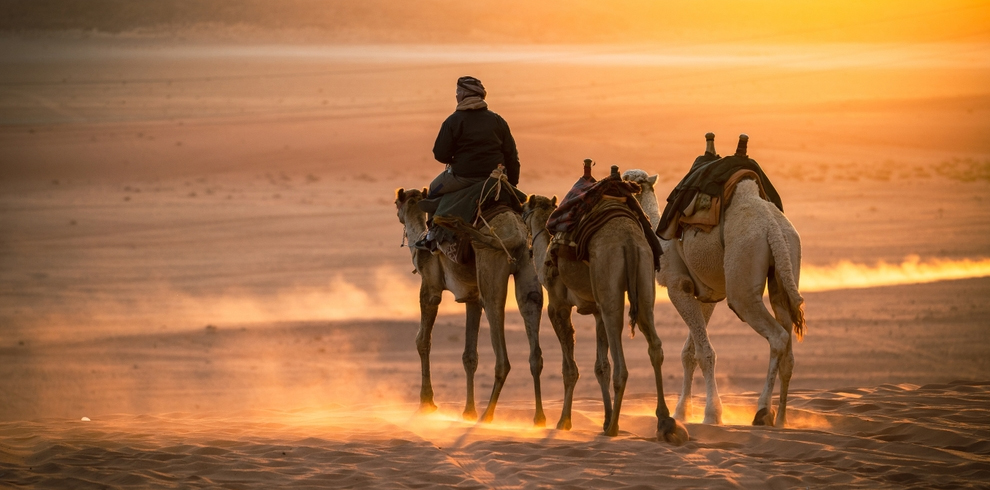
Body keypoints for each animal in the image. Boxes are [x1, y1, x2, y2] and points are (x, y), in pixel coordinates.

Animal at [398, 187, 552, 424]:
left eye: (397, 202)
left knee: (502, 353)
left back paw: (488, 415)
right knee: (534, 341)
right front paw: (468, 411)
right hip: (529, 265)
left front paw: (427, 403)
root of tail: (516, 235)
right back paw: (539, 418)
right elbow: (469, 355)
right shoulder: (471, 298)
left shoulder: (430, 287)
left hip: (491, 267)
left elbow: (422, 340)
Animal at [520, 191, 688, 444]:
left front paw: (565, 421)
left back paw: (615, 428)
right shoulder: (597, 311)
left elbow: (570, 368)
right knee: (654, 345)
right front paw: (605, 418)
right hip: (644, 280)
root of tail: (629, 242)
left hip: (609, 280)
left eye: (523, 212)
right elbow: (601, 366)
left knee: (621, 361)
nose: (526, 240)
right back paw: (664, 422)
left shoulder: (558, 306)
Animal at [624, 135, 808, 428]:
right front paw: (682, 412)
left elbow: (704, 353)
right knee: (788, 345)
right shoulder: (706, 295)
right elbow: (689, 353)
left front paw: (711, 414)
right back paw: (781, 420)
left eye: (632, 180)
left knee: (777, 336)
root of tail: (772, 227)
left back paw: (762, 411)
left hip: (743, 274)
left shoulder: (678, 286)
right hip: (787, 259)